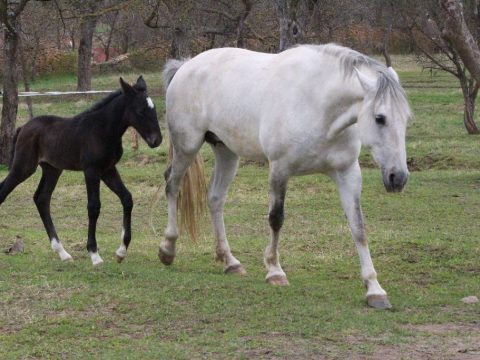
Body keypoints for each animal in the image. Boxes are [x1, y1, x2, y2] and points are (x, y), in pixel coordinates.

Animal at [159, 43, 410, 308]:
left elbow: (359, 228)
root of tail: (185, 66)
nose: (398, 177)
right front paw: (274, 271)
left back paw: (230, 261)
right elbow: (276, 218)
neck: (318, 103)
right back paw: (168, 248)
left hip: (226, 152)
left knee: (215, 199)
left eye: (406, 119)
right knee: (172, 185)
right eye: (380, 118)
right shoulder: (280, 169)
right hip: (187, 147)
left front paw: (374, 289)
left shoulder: (348, 173)